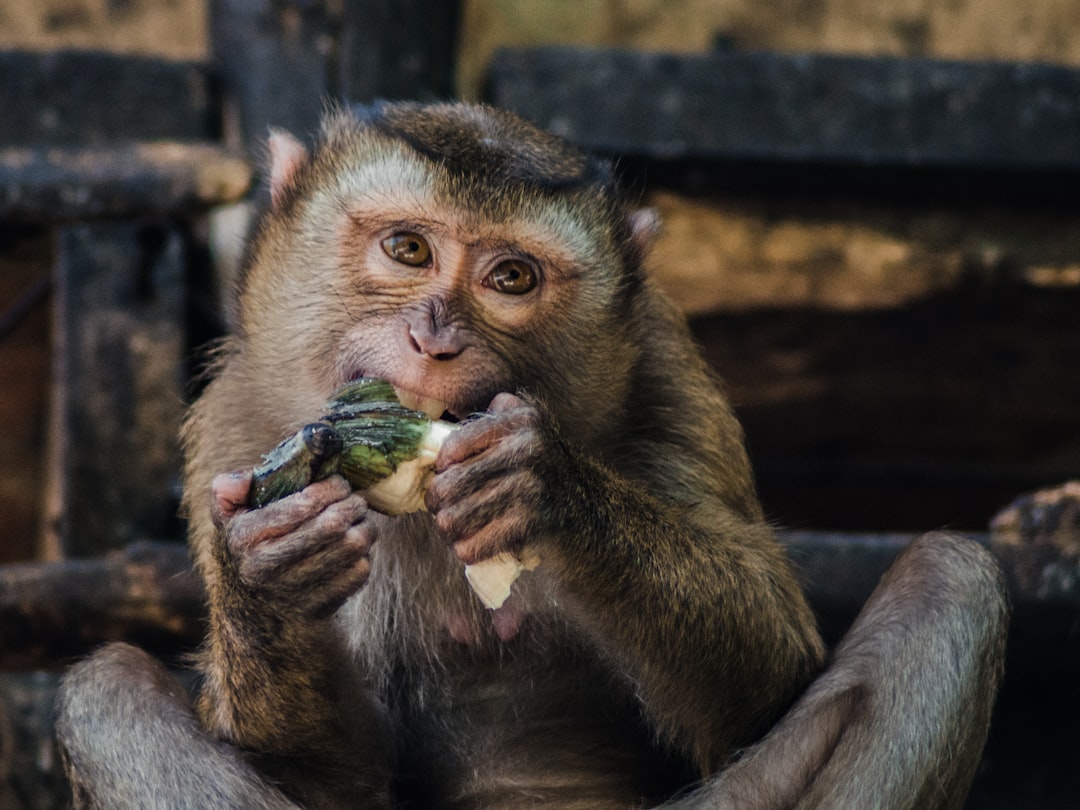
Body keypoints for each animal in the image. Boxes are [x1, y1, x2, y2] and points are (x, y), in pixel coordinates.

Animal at [54, 103, 1006, 810]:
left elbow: (762, 689)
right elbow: (330, 777)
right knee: (108, 695)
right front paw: (270, 575)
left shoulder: (669, 374)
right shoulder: (232, 424)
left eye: (511, 278)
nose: (433, 338)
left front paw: (545, 486)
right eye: (408, 249)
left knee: (948, 586)